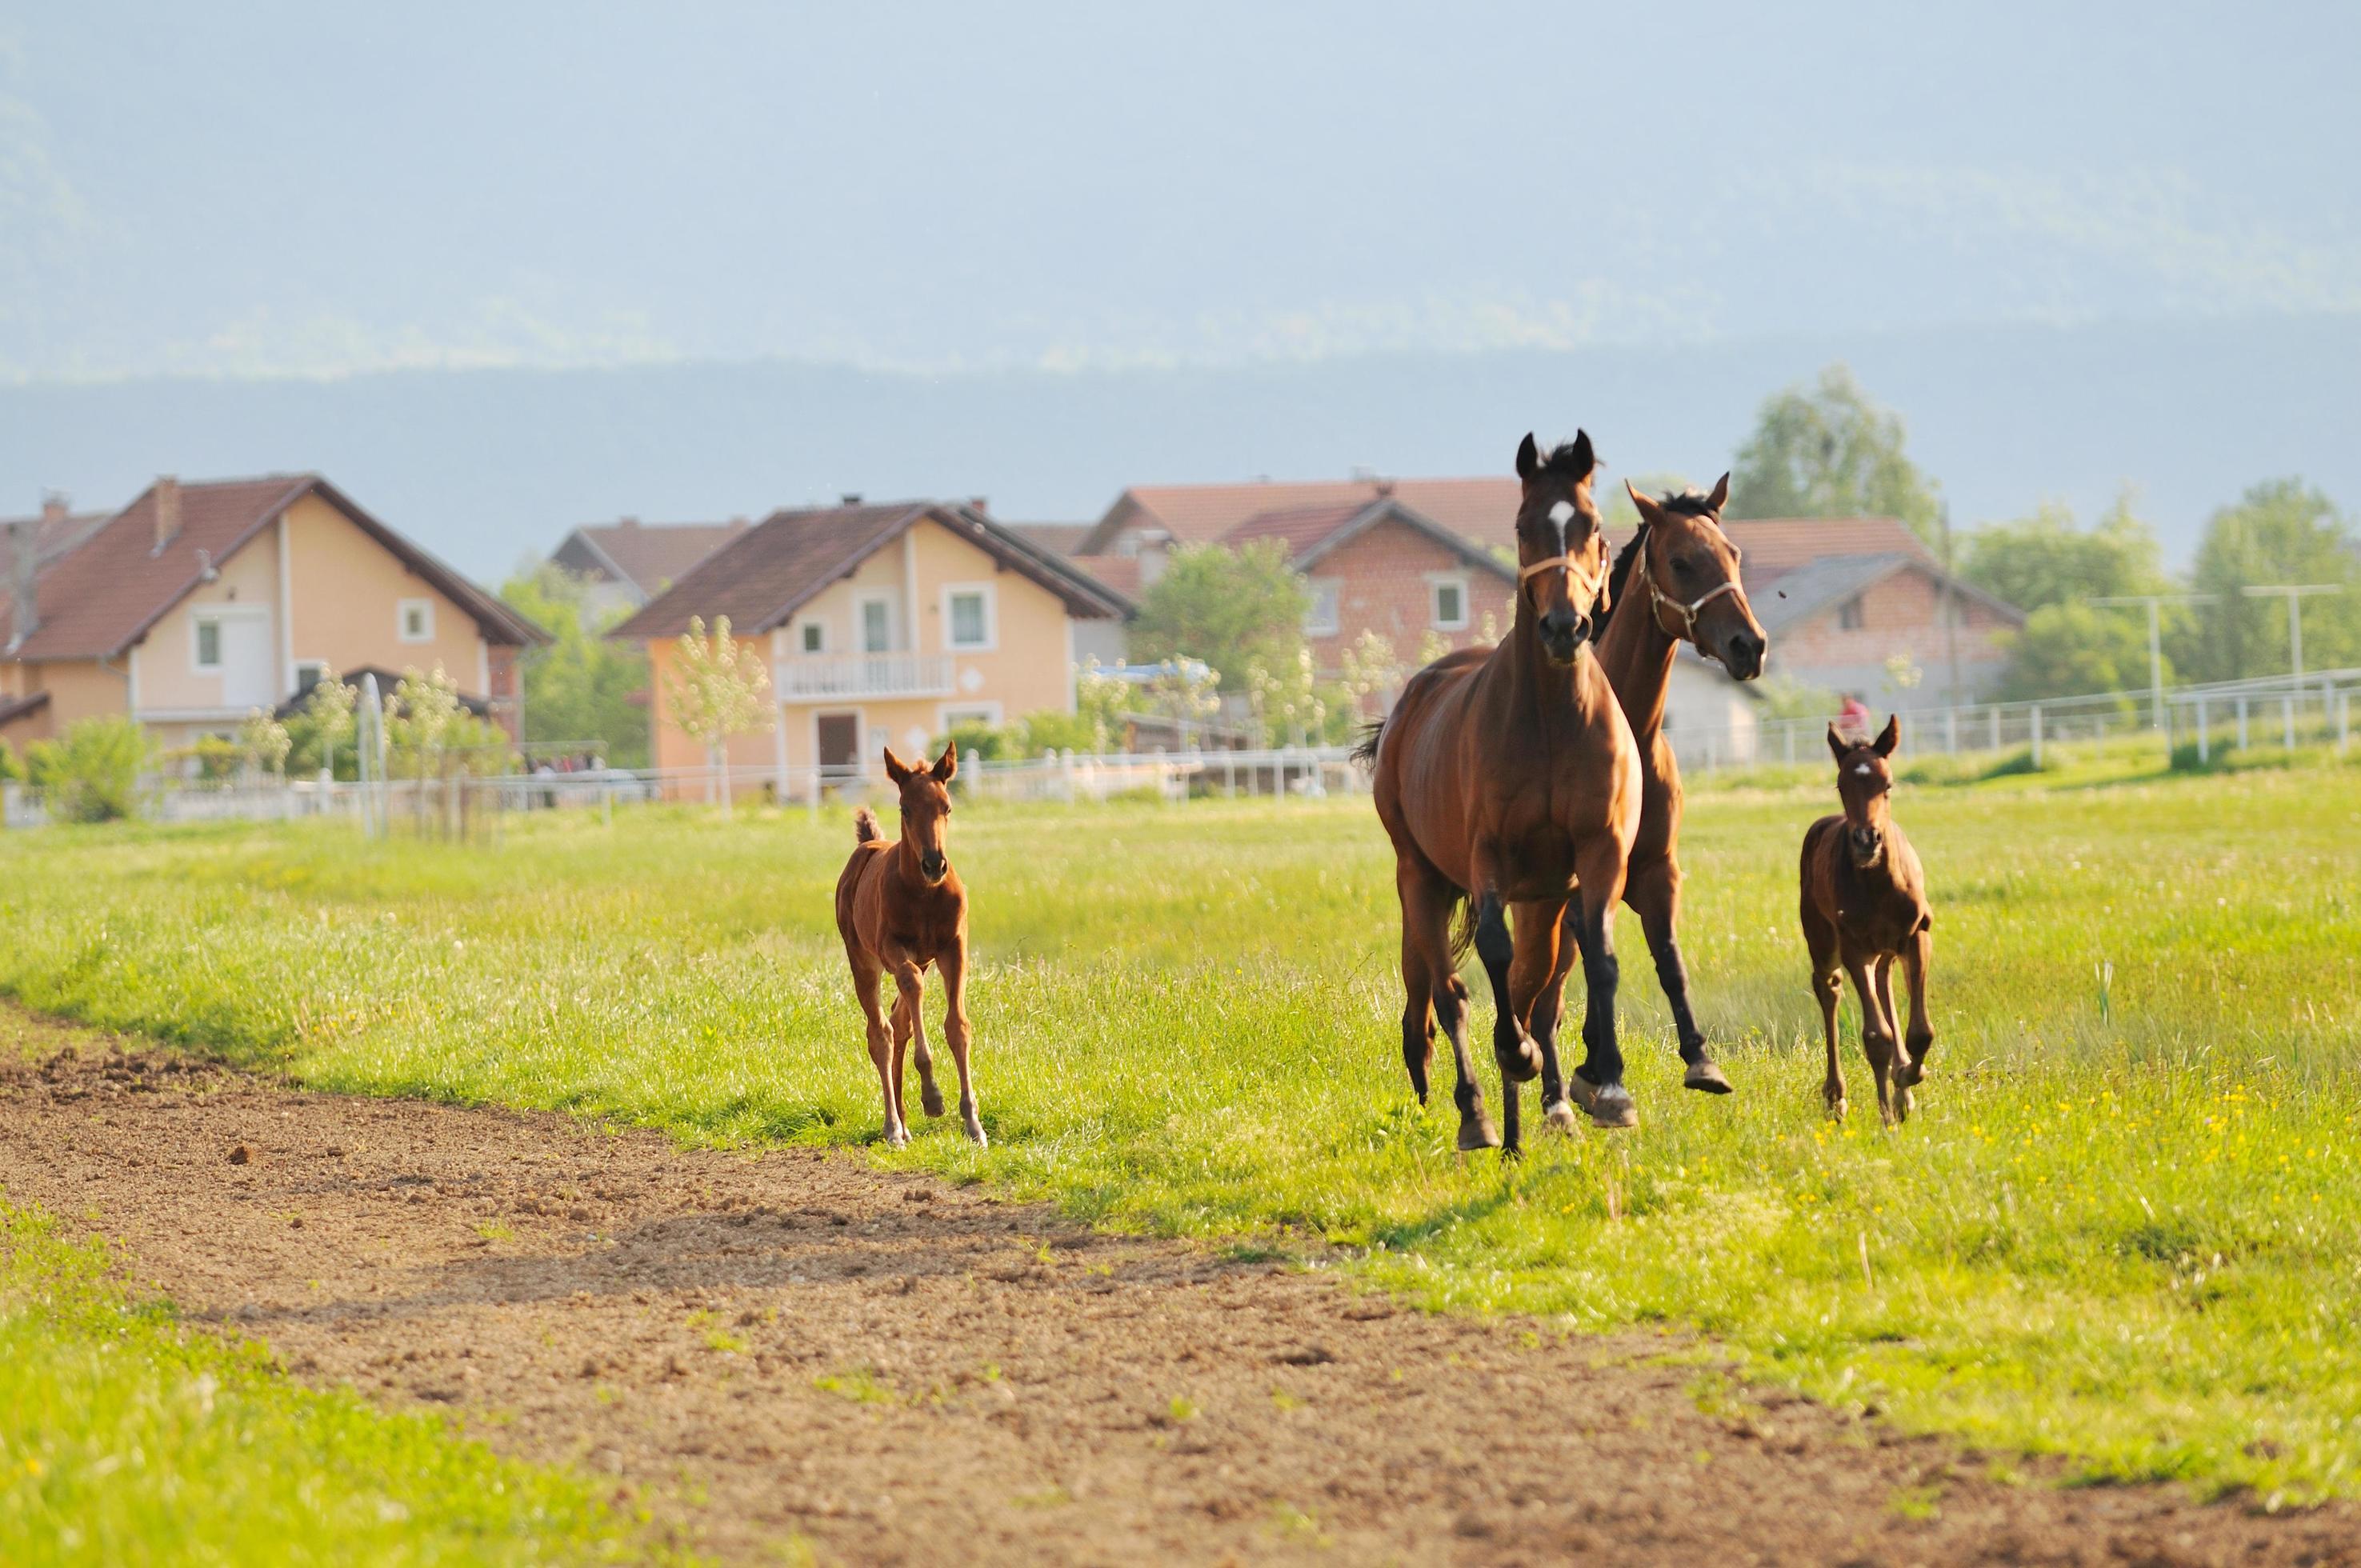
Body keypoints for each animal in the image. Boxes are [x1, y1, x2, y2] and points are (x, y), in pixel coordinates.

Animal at [835, 741, 982, 1147]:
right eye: (905, 808)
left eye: (947, 806)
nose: (934, 863)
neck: (924, 895)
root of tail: (867, 843)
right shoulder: (893, 950)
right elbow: (912, 991)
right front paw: (932, 1097)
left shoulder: (953, 949)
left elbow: (957, 1025)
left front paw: (973, 1122)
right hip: (863, 959)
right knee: (881, 1032)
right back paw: (893, 1127)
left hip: (925, 960)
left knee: (899, 1021)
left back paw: (903, 1119)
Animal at [1359, 430, 1652, 1152]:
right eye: (1523, 527)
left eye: (1591, 525)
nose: (1563, 627)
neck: (1550, 722)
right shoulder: (1487, 855)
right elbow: (1492, 959)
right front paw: (1513, 1056)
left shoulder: (1595, 855)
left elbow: (1595, 959)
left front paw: (1607, 1090)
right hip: (1420, 875)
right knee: (1446, 991)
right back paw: (1476, 1112)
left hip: (1540, 898)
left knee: (1535, 985)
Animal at [1558, 472, 1766, 1095]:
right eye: (1680, 561)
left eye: (1732, 554)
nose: (1749, 646)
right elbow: (1595, 960)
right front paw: (1597, 1067)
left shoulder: (1657, 872)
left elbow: (1668, 959)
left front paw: (1700, 1059)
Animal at [1803, 718, 1935, 1133]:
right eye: (1841, 786)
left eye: (1888, 784)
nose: (1866, 839)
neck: (1879, 881)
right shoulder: (1854, 948)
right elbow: (1877, 1036)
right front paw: (1888, 1114)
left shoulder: (1917, 936)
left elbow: (1920, 1032)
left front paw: (1907, 1076)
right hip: (1822, 939)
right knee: (1828, 988)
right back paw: (1836, 1097)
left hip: (1888, 948)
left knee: (1883, 981)